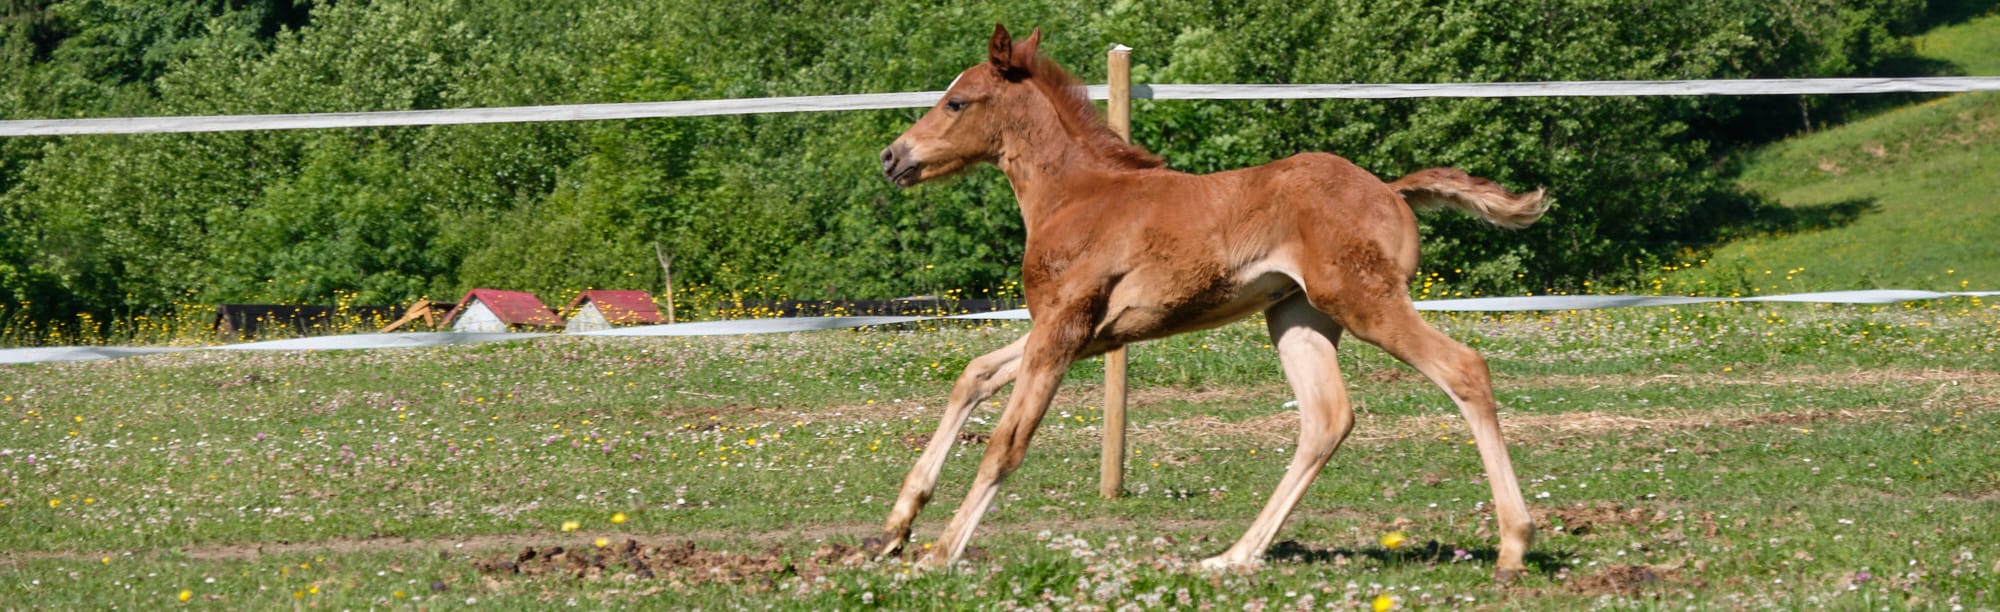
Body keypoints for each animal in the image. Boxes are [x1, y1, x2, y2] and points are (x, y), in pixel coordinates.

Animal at [872, 25, 1544, 580]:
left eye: (957, 102)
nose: (892, 157)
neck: (1077, 195)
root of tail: (1390, 190)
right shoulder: (1083, 333)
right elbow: (974, 375)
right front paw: (894, 528)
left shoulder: (1064, 327)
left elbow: (1007, 442)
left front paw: (939, 553)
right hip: (1298, 317)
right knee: (1326, 418)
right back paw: (1234, 555)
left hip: (1364, 303)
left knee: (1463, 369)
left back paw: (1513, 547)